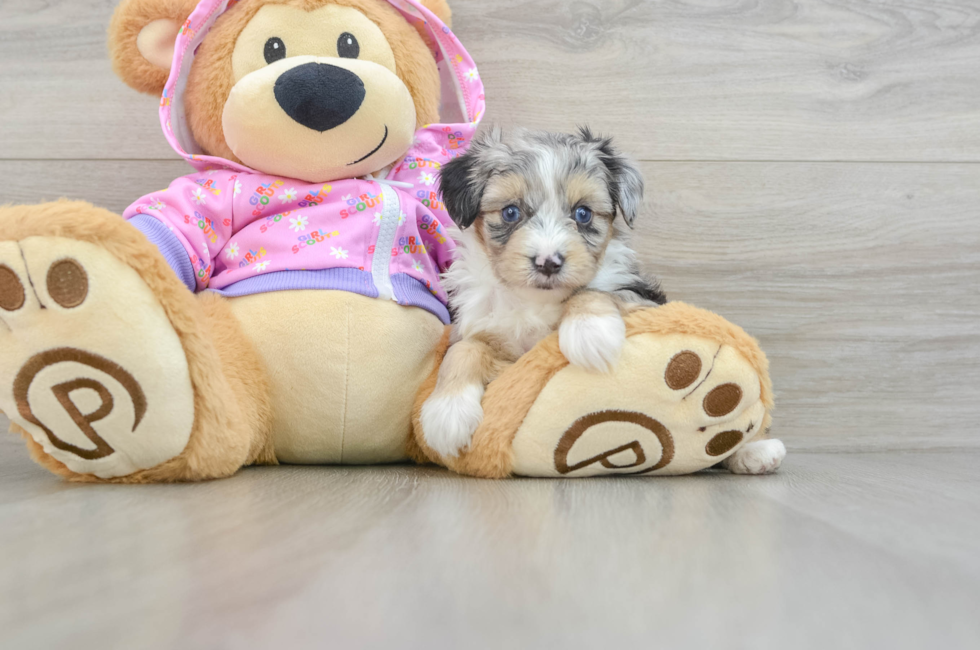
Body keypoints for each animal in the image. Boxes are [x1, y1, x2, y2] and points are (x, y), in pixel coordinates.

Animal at [422, 126, 668, 456]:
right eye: (510, 212)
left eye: (583, 213)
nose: (548, 262)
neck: (534, 300)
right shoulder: (482, 330)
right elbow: (464, 350)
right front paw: (447, 413)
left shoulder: (644, 298)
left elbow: (595, 291)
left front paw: (590, 333)